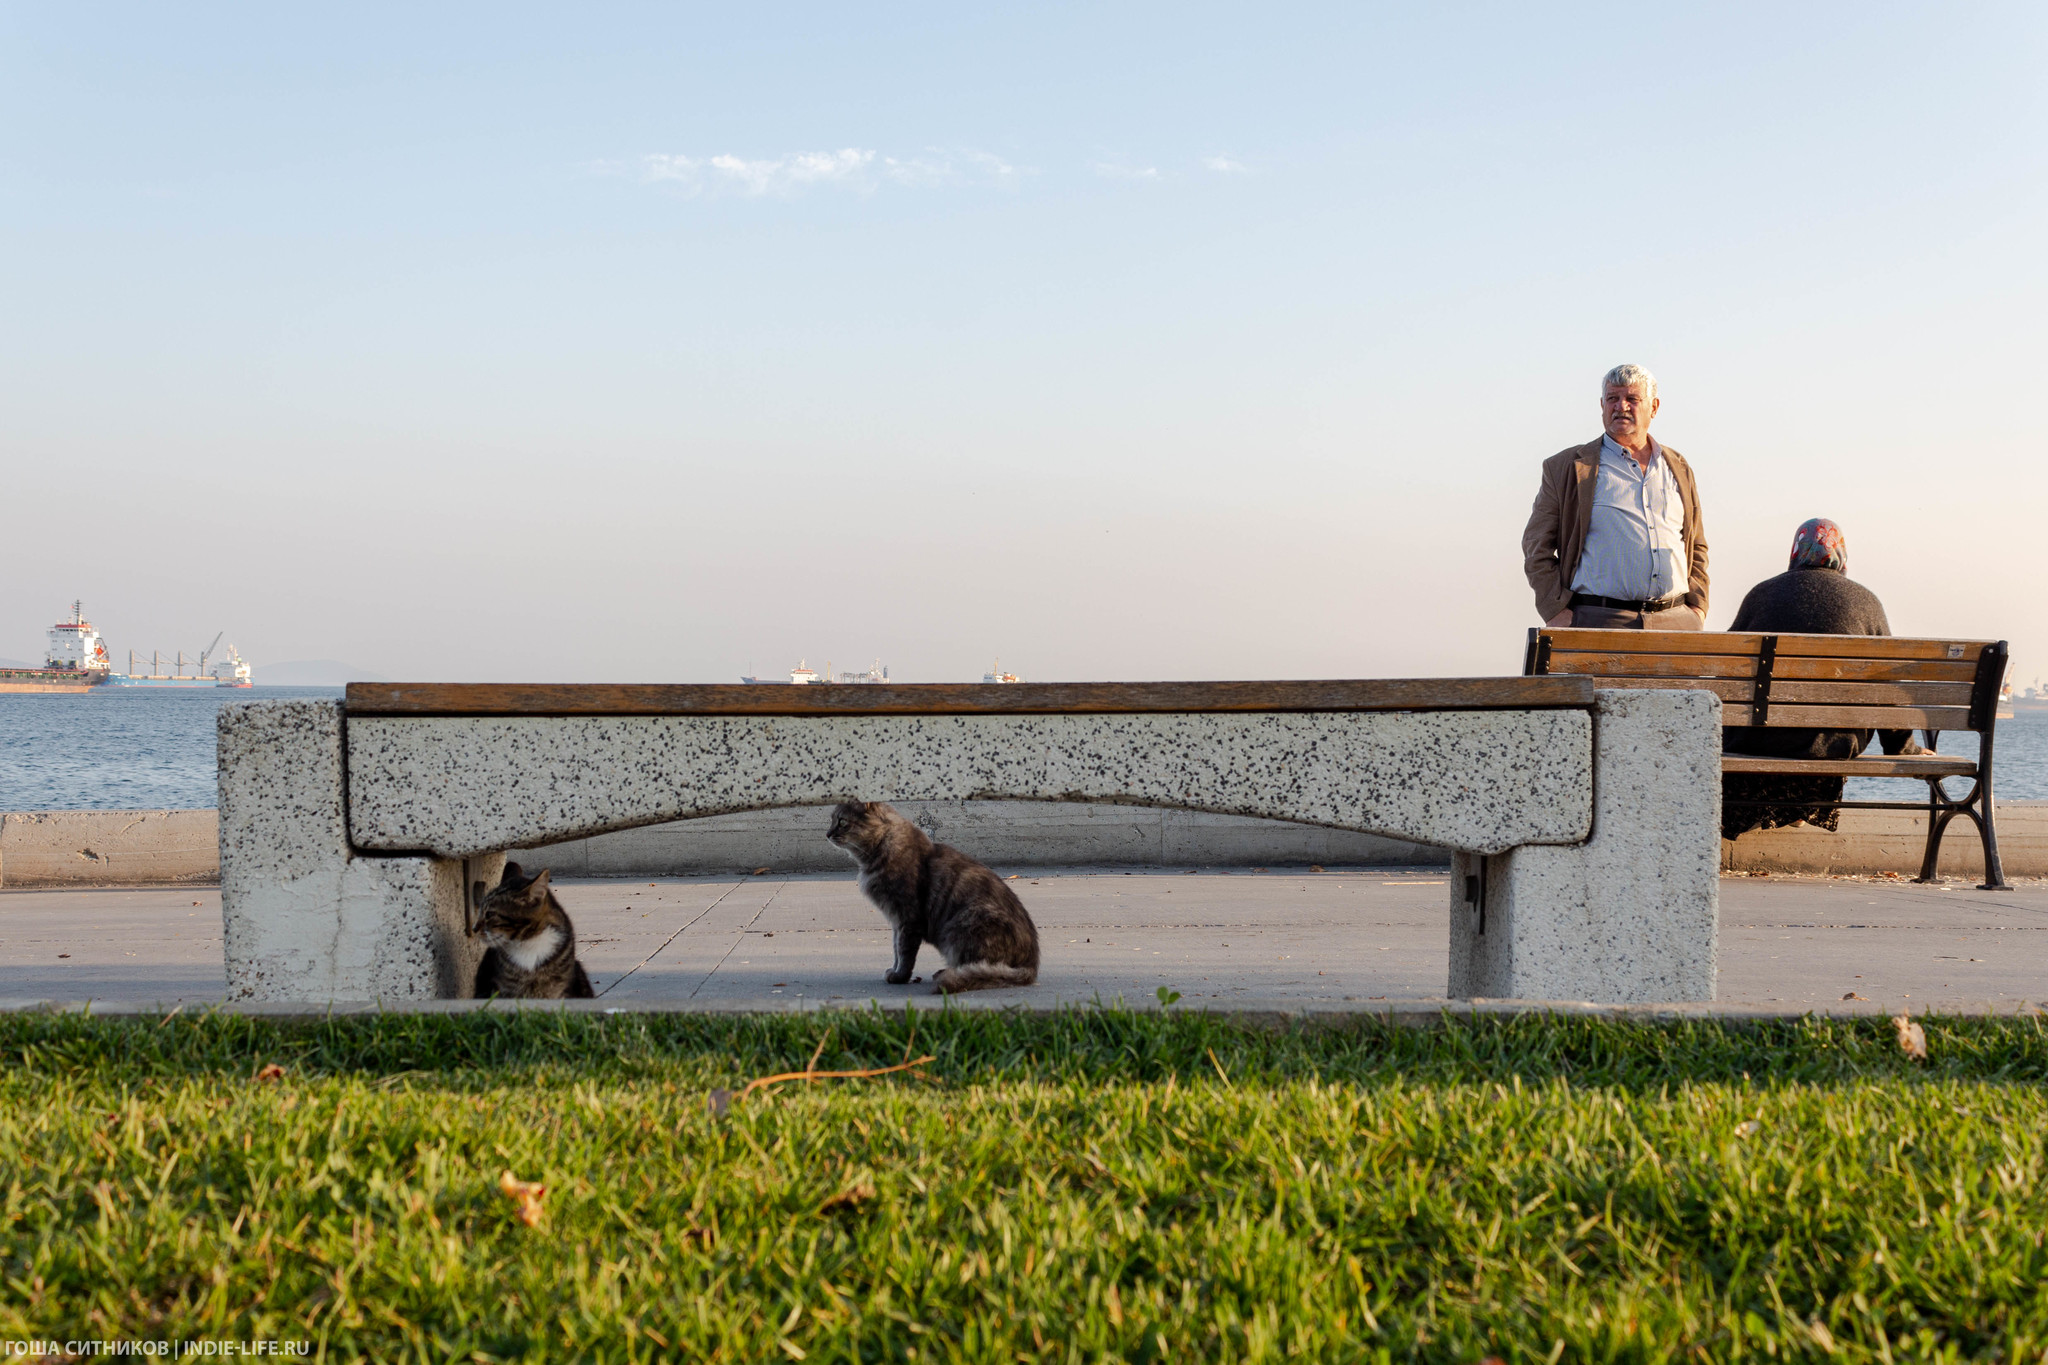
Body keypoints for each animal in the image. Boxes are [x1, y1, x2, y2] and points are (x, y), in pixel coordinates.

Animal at [466, 863, 593, 1002]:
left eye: (489, 914)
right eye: (480, 911)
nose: (474, 928)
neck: (528, 942)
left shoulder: (558, 990)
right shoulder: (506, 990)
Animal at [823, 794, 1040, 998]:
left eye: (842, 822)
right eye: (832, 820)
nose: (827, 834)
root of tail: (1031, 965)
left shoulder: (907, 918)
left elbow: (904, 952)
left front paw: (899, 976)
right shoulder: (896, 920)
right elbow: (896, 950)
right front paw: (894, 970)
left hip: (964, 922)